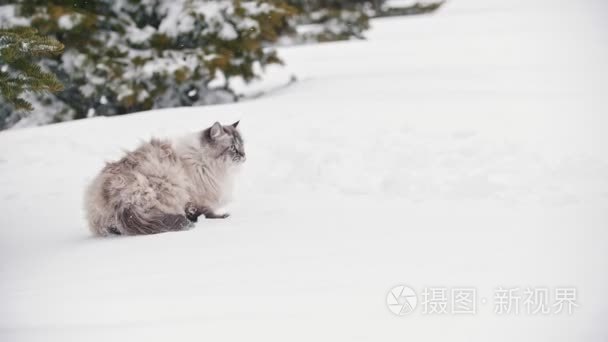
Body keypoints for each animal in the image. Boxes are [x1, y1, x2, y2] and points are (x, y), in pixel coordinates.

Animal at [85, 121, 245, 236]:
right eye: (233, 148)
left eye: (242, 147)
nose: (244, 156)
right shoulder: (198, 197)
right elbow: (207, 212)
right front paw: (222, 217)